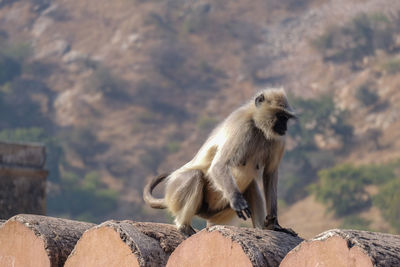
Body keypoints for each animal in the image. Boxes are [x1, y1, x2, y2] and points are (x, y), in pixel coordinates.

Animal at [144, 88, 296, 237]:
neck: (258, 127)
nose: (285, 127)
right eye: (280, 116)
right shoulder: (242, 127)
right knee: (194, 175)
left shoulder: (278, 139)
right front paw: (236, 200)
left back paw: (263, 228)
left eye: (286, 118)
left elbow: (270, 173)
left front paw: (274, 224)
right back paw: (184, 227)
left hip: (217, 213)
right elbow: (219, 165)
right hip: (179, 193)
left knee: (251, 185)